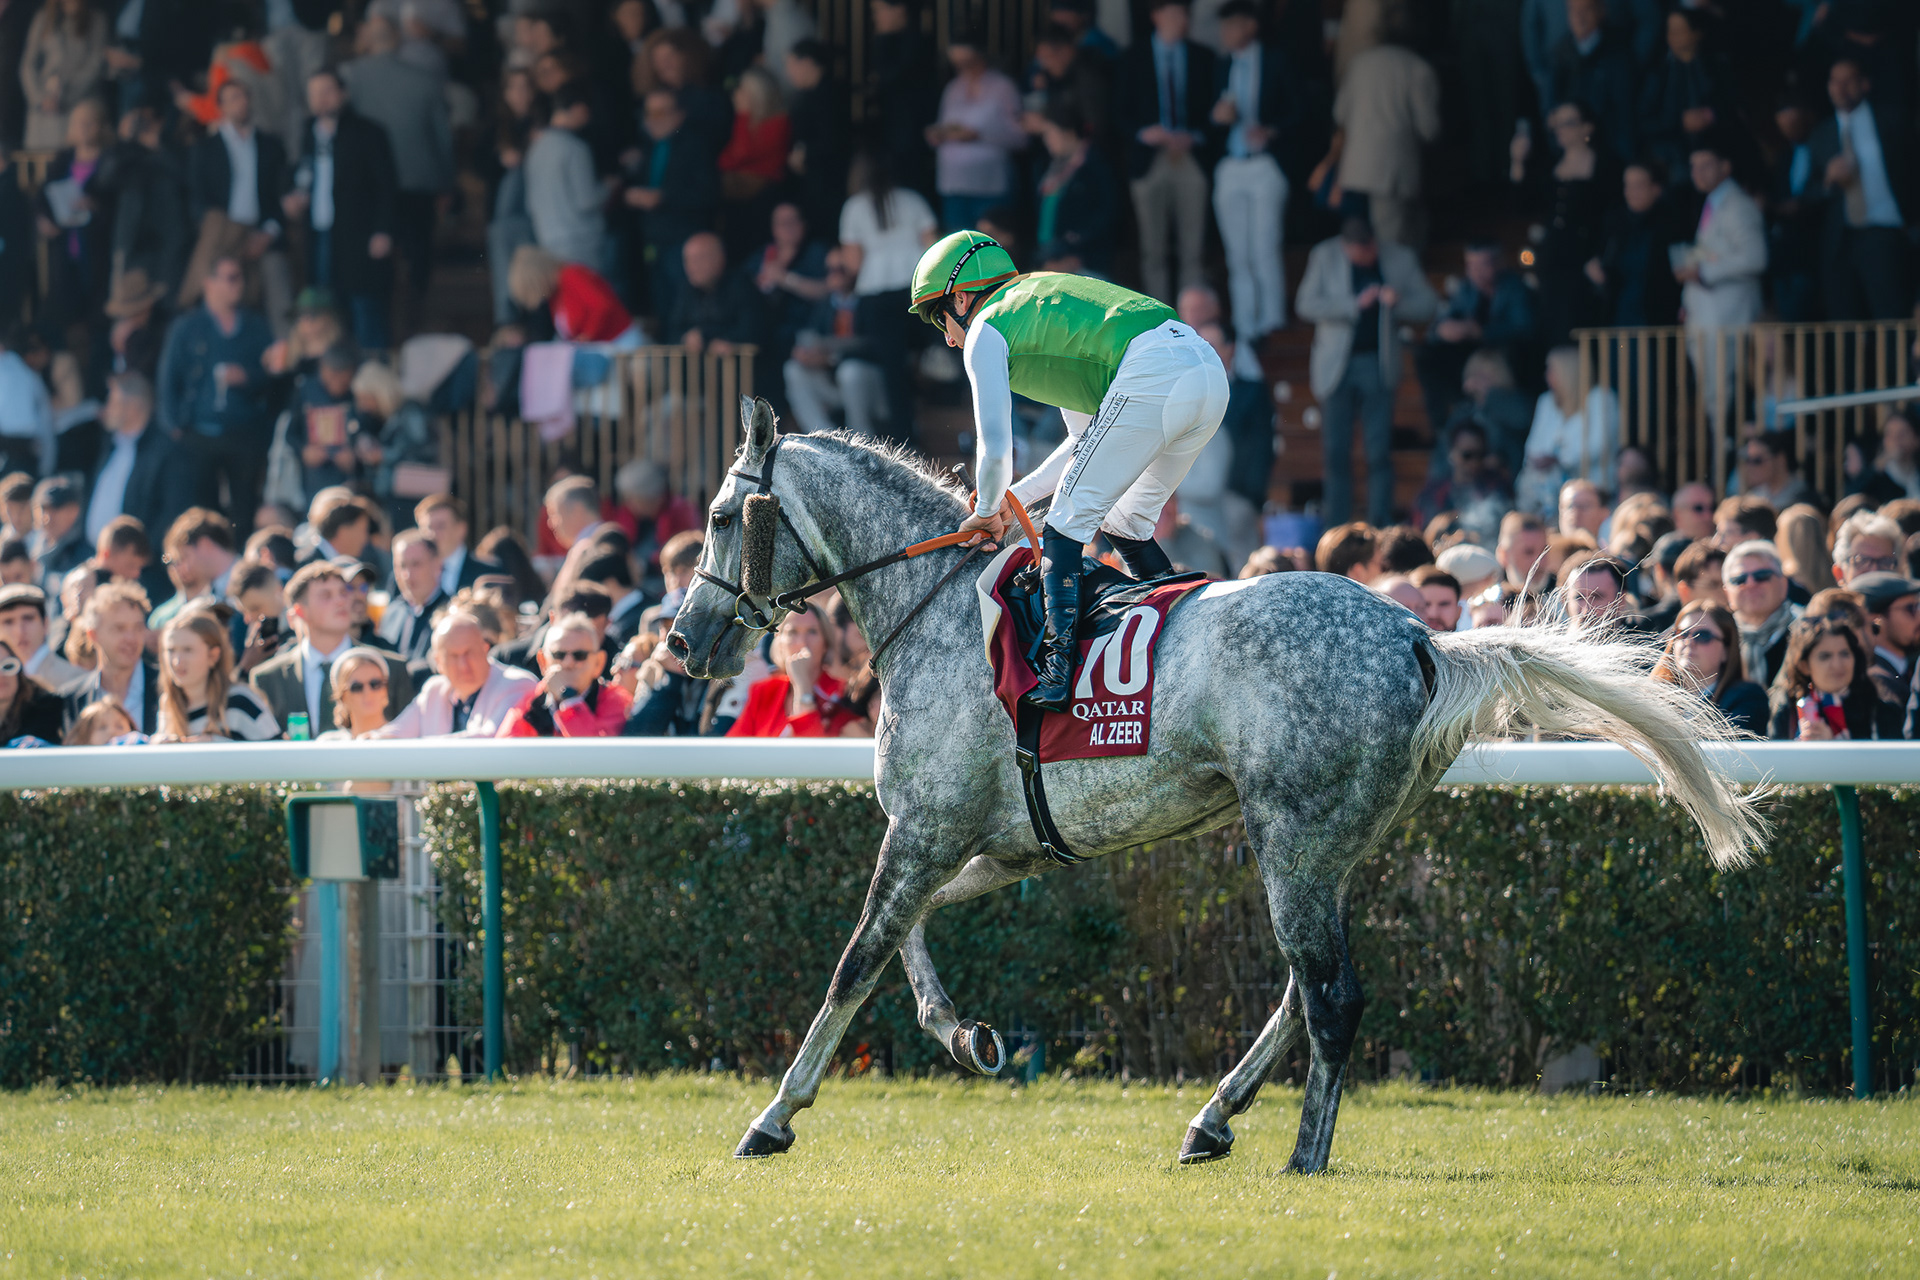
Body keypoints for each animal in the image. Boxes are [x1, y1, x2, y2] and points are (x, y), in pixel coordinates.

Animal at [666, 397, 1763, 1172]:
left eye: (719, 516)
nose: (681, 642)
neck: (931, 610)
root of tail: (1421, 637)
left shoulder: (926, 828)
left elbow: (856, 959)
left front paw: (773, 1115)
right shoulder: (993, 842)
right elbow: (915, 935)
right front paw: (965, 1034)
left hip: (1293, 836)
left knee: (1333, 994)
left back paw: (1304, 1152)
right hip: (1323, 845)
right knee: (1299, 987)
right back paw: (1214, 1117)